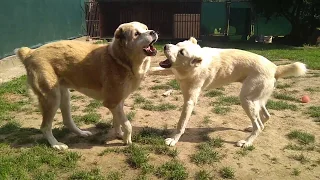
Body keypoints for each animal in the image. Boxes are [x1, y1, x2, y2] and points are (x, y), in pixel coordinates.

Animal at [15, 21, 158, 150]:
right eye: (136, 34)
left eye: (146, 28)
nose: (153, 32)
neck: (119, 59)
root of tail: (29, 53)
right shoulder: (111, 102)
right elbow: (127, 124)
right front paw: (127, 140)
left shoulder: (118, 101)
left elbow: (117, 120)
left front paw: (119, 134)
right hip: (52, 98)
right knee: (45, 127)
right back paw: (56, 145)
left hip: (64, 95)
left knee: (67, 121)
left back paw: (82, 133)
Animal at [159, 37, 306, 148]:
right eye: (177, 44)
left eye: (182, 52)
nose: (165, 46)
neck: (192, 67)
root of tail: (275, 67)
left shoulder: (190, 102)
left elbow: (181, 123)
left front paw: (174, 139)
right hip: (256, 100)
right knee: (265, 117)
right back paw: (250, 128)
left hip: (246, 99)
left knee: (259, 126)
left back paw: (246, 142)